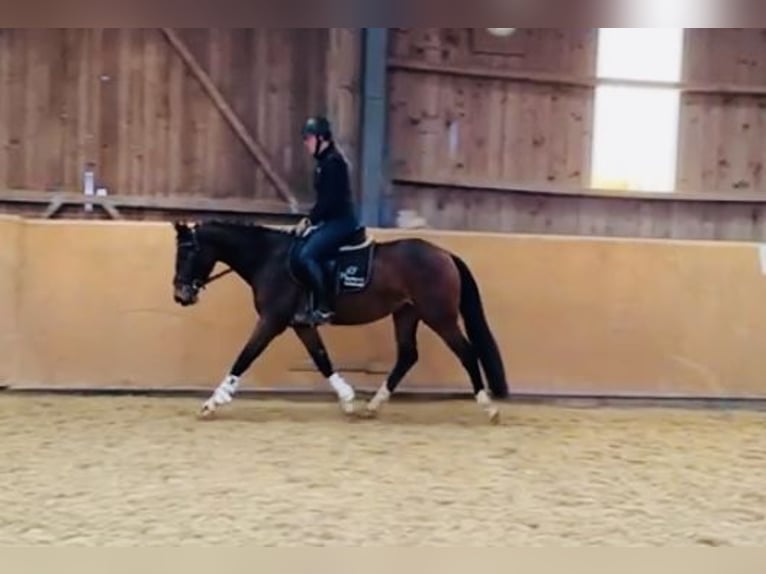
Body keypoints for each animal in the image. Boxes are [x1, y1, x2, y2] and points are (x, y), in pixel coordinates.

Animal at [172, 220, 510, 424]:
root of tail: (444, 254)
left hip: (439, 315)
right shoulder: (302, 325)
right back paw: (373, 406)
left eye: (188, 253)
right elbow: (321, 359)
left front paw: (213, 402)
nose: (180, 295)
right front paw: (347, 400)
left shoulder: (272, 321)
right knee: (407, 355)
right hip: (406, 313)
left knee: (466, 352)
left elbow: (245, 357)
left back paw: (489, 406)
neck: (270, 259)